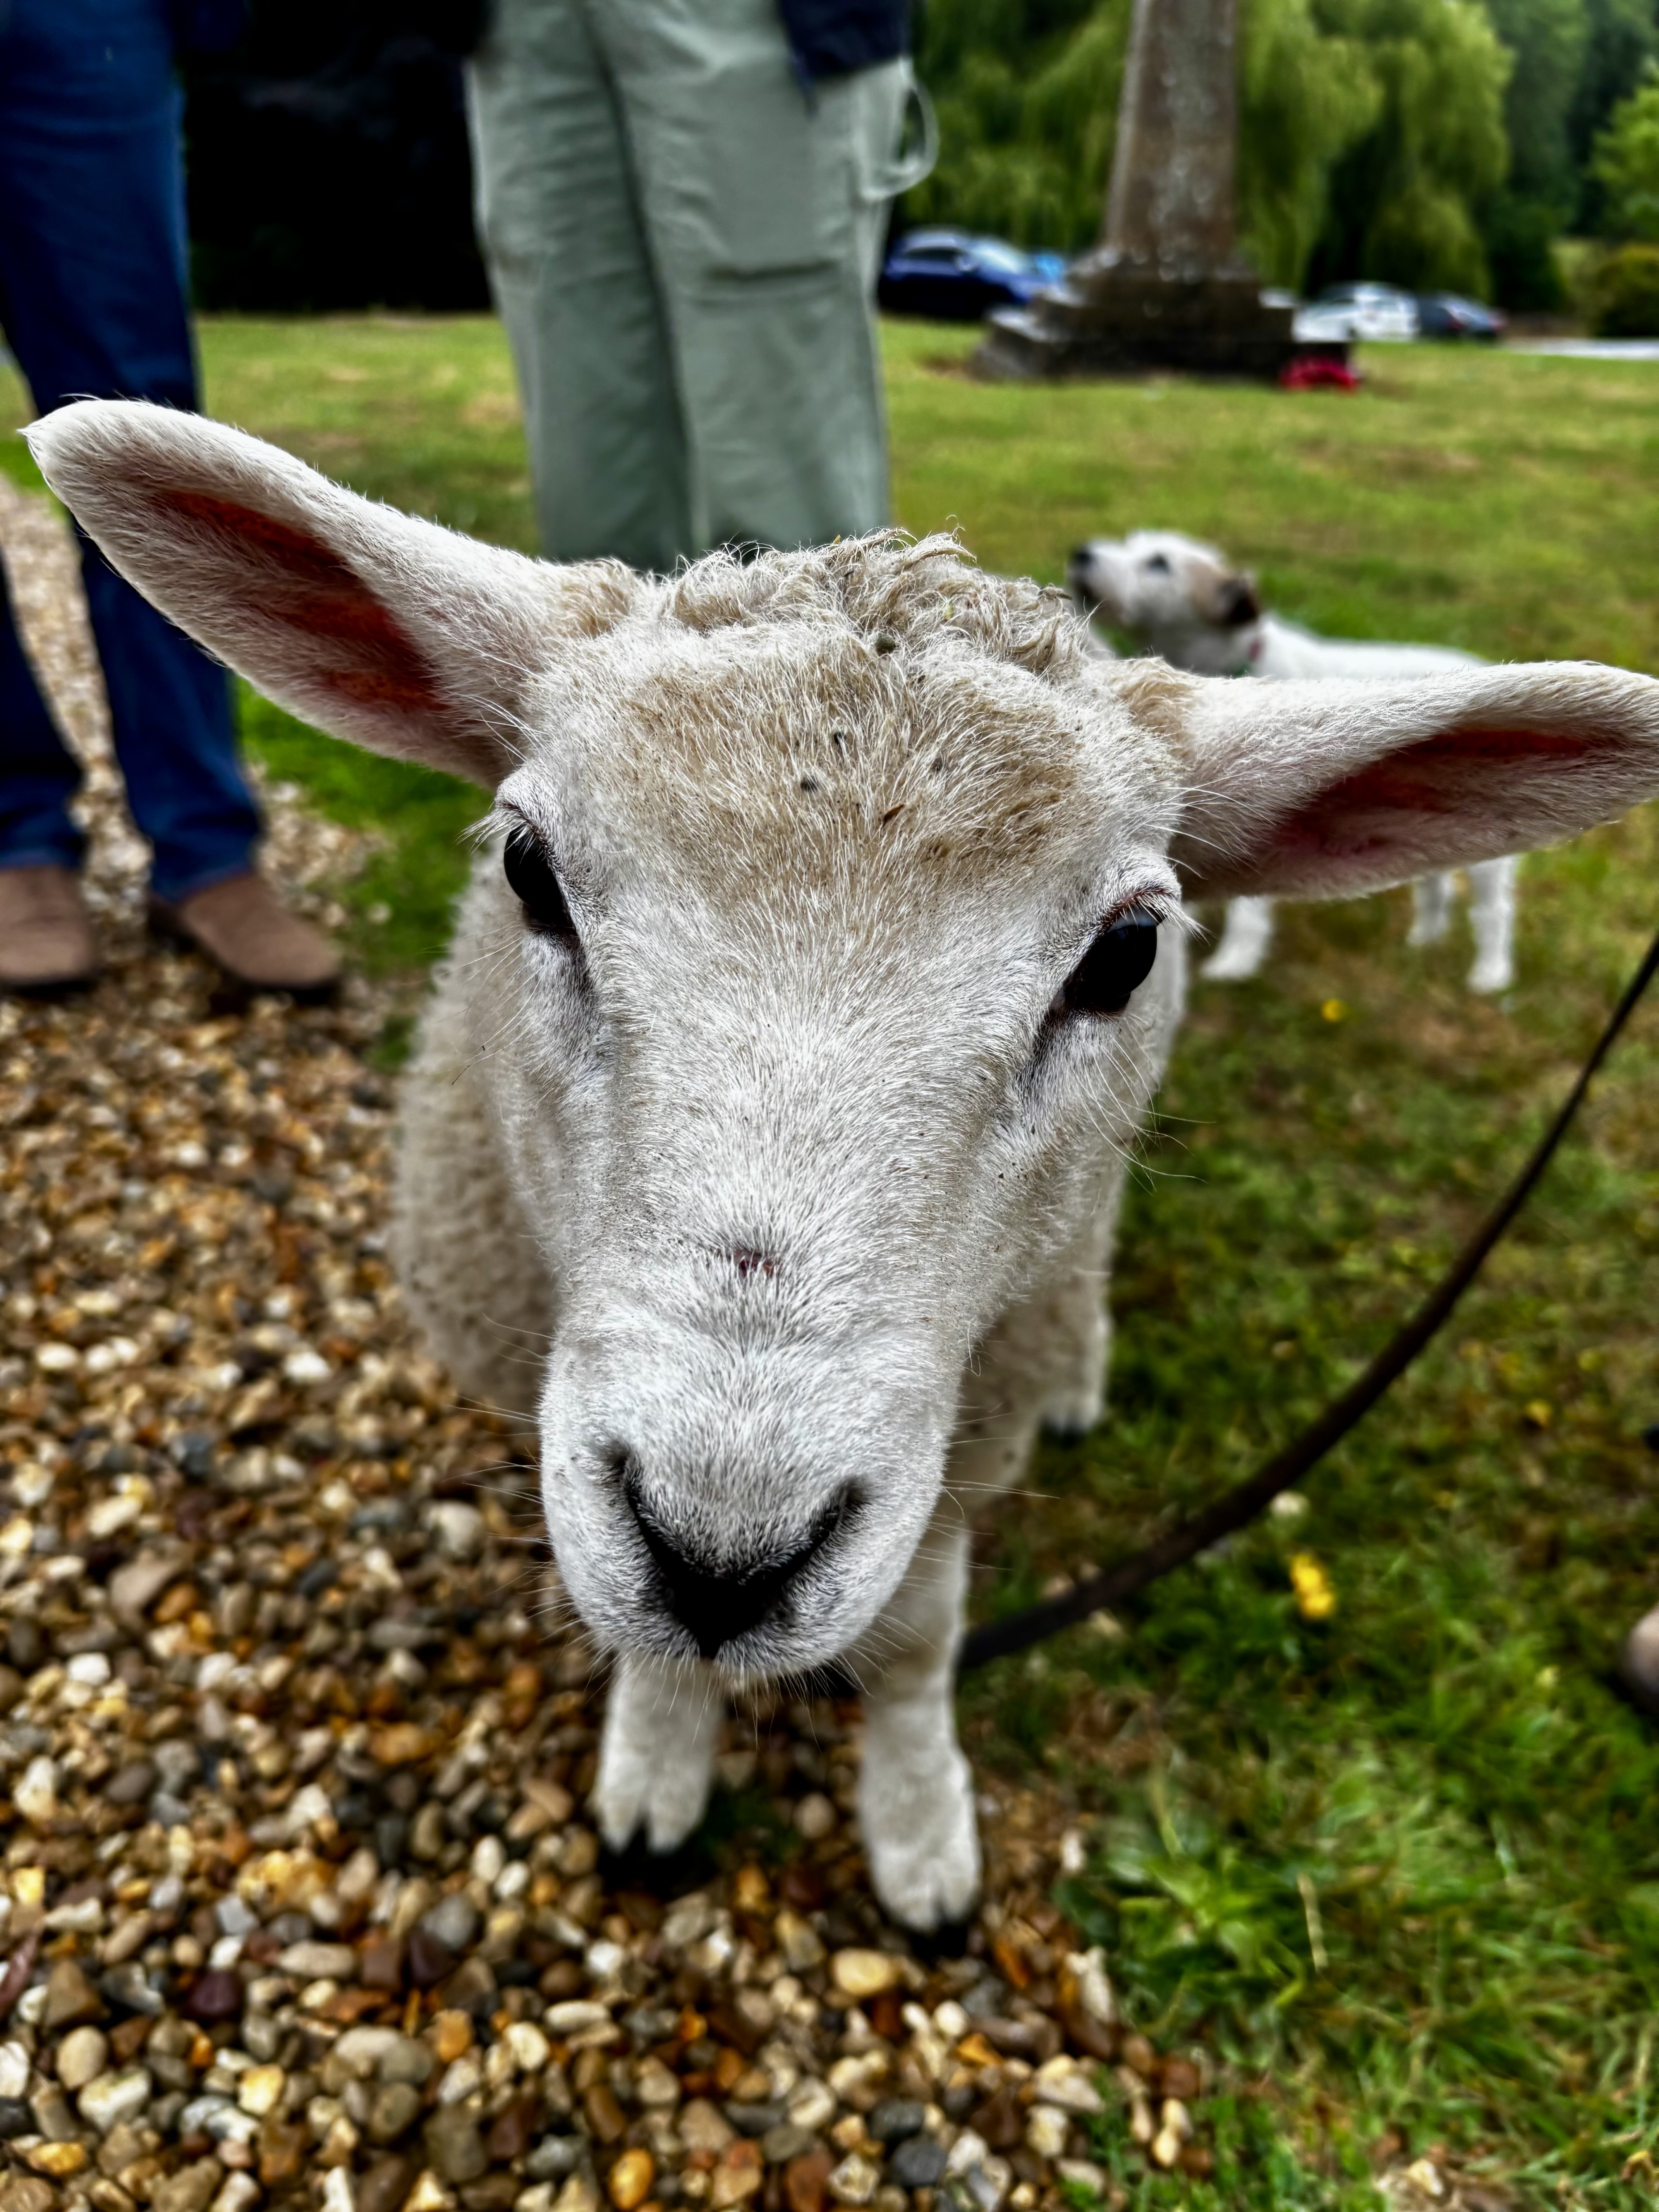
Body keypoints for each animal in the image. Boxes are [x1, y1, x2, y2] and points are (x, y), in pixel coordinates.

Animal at [1069, 529, 1520, 994]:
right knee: (1435, 885)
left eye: (1159, 563)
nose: (1082, 554)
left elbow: (1246, 911)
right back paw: (1425, 940)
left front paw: (1235, 961)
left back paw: (1491, 974)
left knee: (1494, 913)